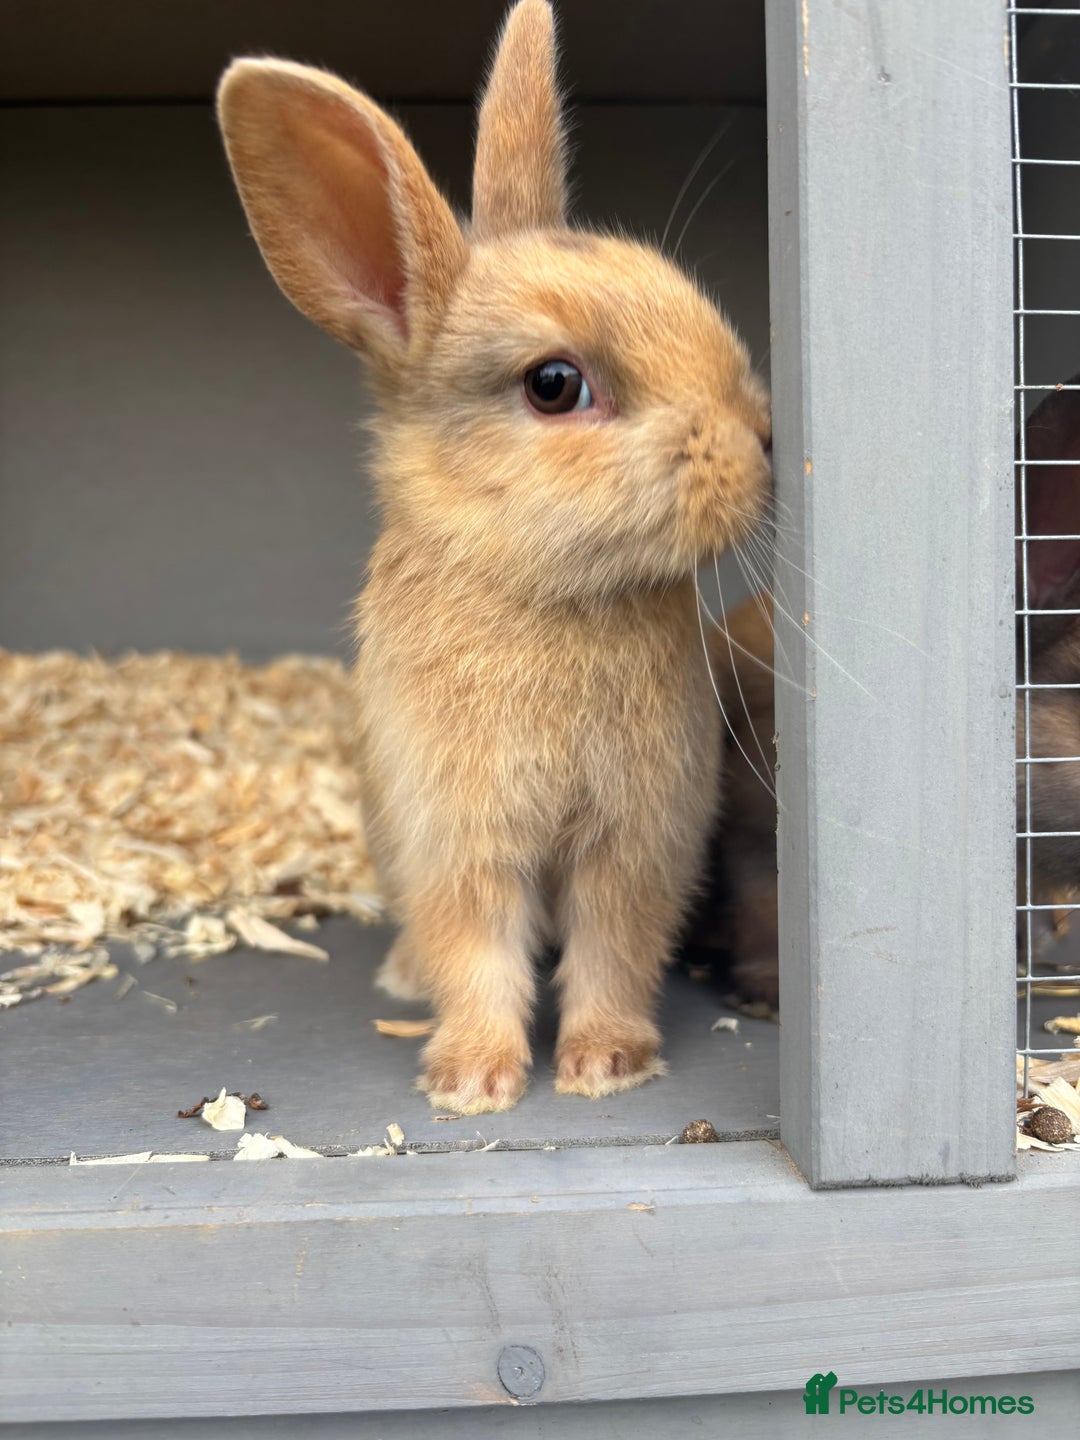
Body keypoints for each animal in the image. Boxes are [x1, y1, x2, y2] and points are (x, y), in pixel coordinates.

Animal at [217, 0, 772, 1113]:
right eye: (554, 385)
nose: (762, 441)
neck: (544, 590)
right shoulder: (457, 842)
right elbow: (476, 953)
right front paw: (472, 1081)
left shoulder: (637, 838)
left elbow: (613, 949)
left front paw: (607, 1066)